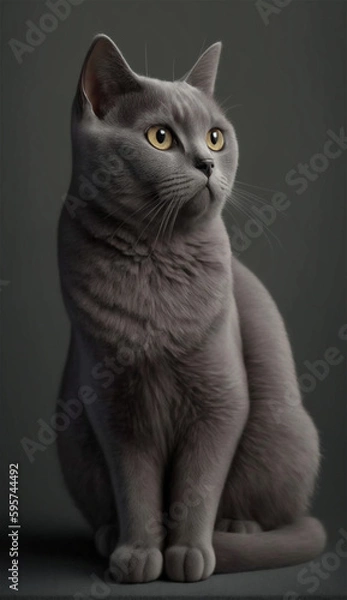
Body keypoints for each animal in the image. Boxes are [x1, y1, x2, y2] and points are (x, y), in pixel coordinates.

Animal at [57, 35, 326, 584]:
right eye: (160, 137)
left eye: (216, 138)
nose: (206, 163)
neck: (154, 261)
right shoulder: (114, 409)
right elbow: (135, 489)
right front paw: (139, 554)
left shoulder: (221, 400)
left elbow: (197, 485)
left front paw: (188, 554)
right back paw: (109, 535)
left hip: (285, 430)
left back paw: (238, 528)